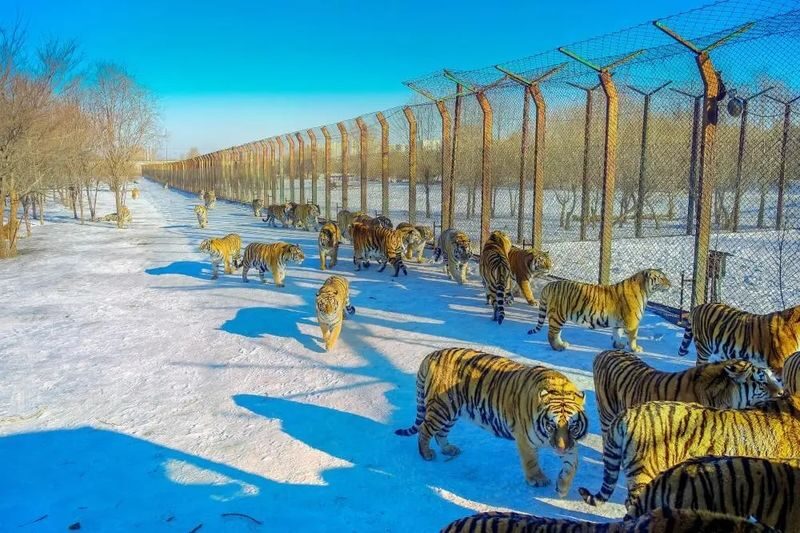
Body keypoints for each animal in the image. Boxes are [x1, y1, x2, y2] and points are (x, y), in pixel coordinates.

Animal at [395, 348, 588, 497]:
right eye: (551, 426)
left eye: (572, 426)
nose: (561, 449)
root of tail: (431, 355)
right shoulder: (525, 439)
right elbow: (531, 461)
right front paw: (537, 479)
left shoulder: (570, 443)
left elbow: (572, 465)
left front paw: (562, 487)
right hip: (442, 409)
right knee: (425, 429)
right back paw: (426, 454)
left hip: (451, 412)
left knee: (440, 433)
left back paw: (449, 449)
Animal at [529, 269, 671, 352]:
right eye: (661, 278)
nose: (670, 284)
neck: (646, 291)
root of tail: (549, 285)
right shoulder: (632, 322)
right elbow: (633, 337)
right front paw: (635, 349)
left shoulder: (618, 322)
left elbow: (617, 333)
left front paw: (618, 345)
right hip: (558, 316)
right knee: (552, 334)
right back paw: (559, 347)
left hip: (558, 317)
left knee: (556, 333)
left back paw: (563, 344)